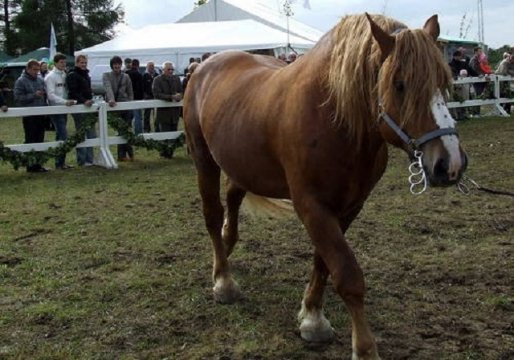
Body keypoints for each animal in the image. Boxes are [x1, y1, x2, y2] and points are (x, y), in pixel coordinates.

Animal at [183, 13, 464, 360]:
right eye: (400, 84)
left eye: (444, 82)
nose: (450, 164)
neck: (335, 118)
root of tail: (203, 66)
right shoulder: (312, 206)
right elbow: (347, 274)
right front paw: (362, 347)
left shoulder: (349, 206)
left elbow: (324, 262)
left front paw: (312, 316)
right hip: (203, 158)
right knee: (212, 213)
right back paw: (224, 280)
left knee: (233, 198)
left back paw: (226, 244)